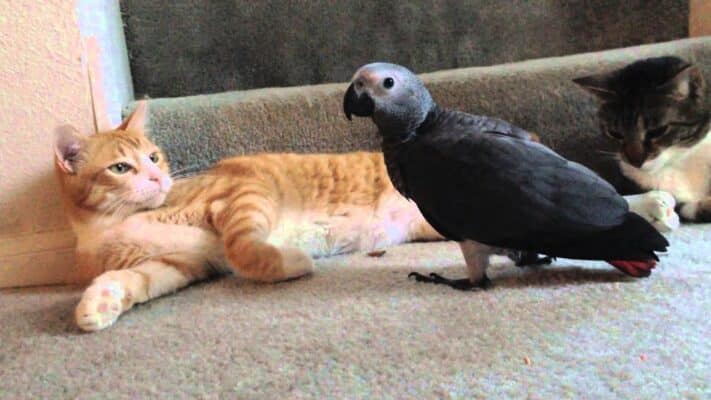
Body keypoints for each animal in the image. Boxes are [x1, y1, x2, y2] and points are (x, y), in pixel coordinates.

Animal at [55, 102, 442, 332]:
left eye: (154, 157)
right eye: (120, 168)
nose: (158, 178)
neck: (111, 223)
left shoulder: (244, 192)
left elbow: (244, 248)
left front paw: (290, 262)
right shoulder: (178, 263)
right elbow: (132, 279)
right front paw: (99, 302)